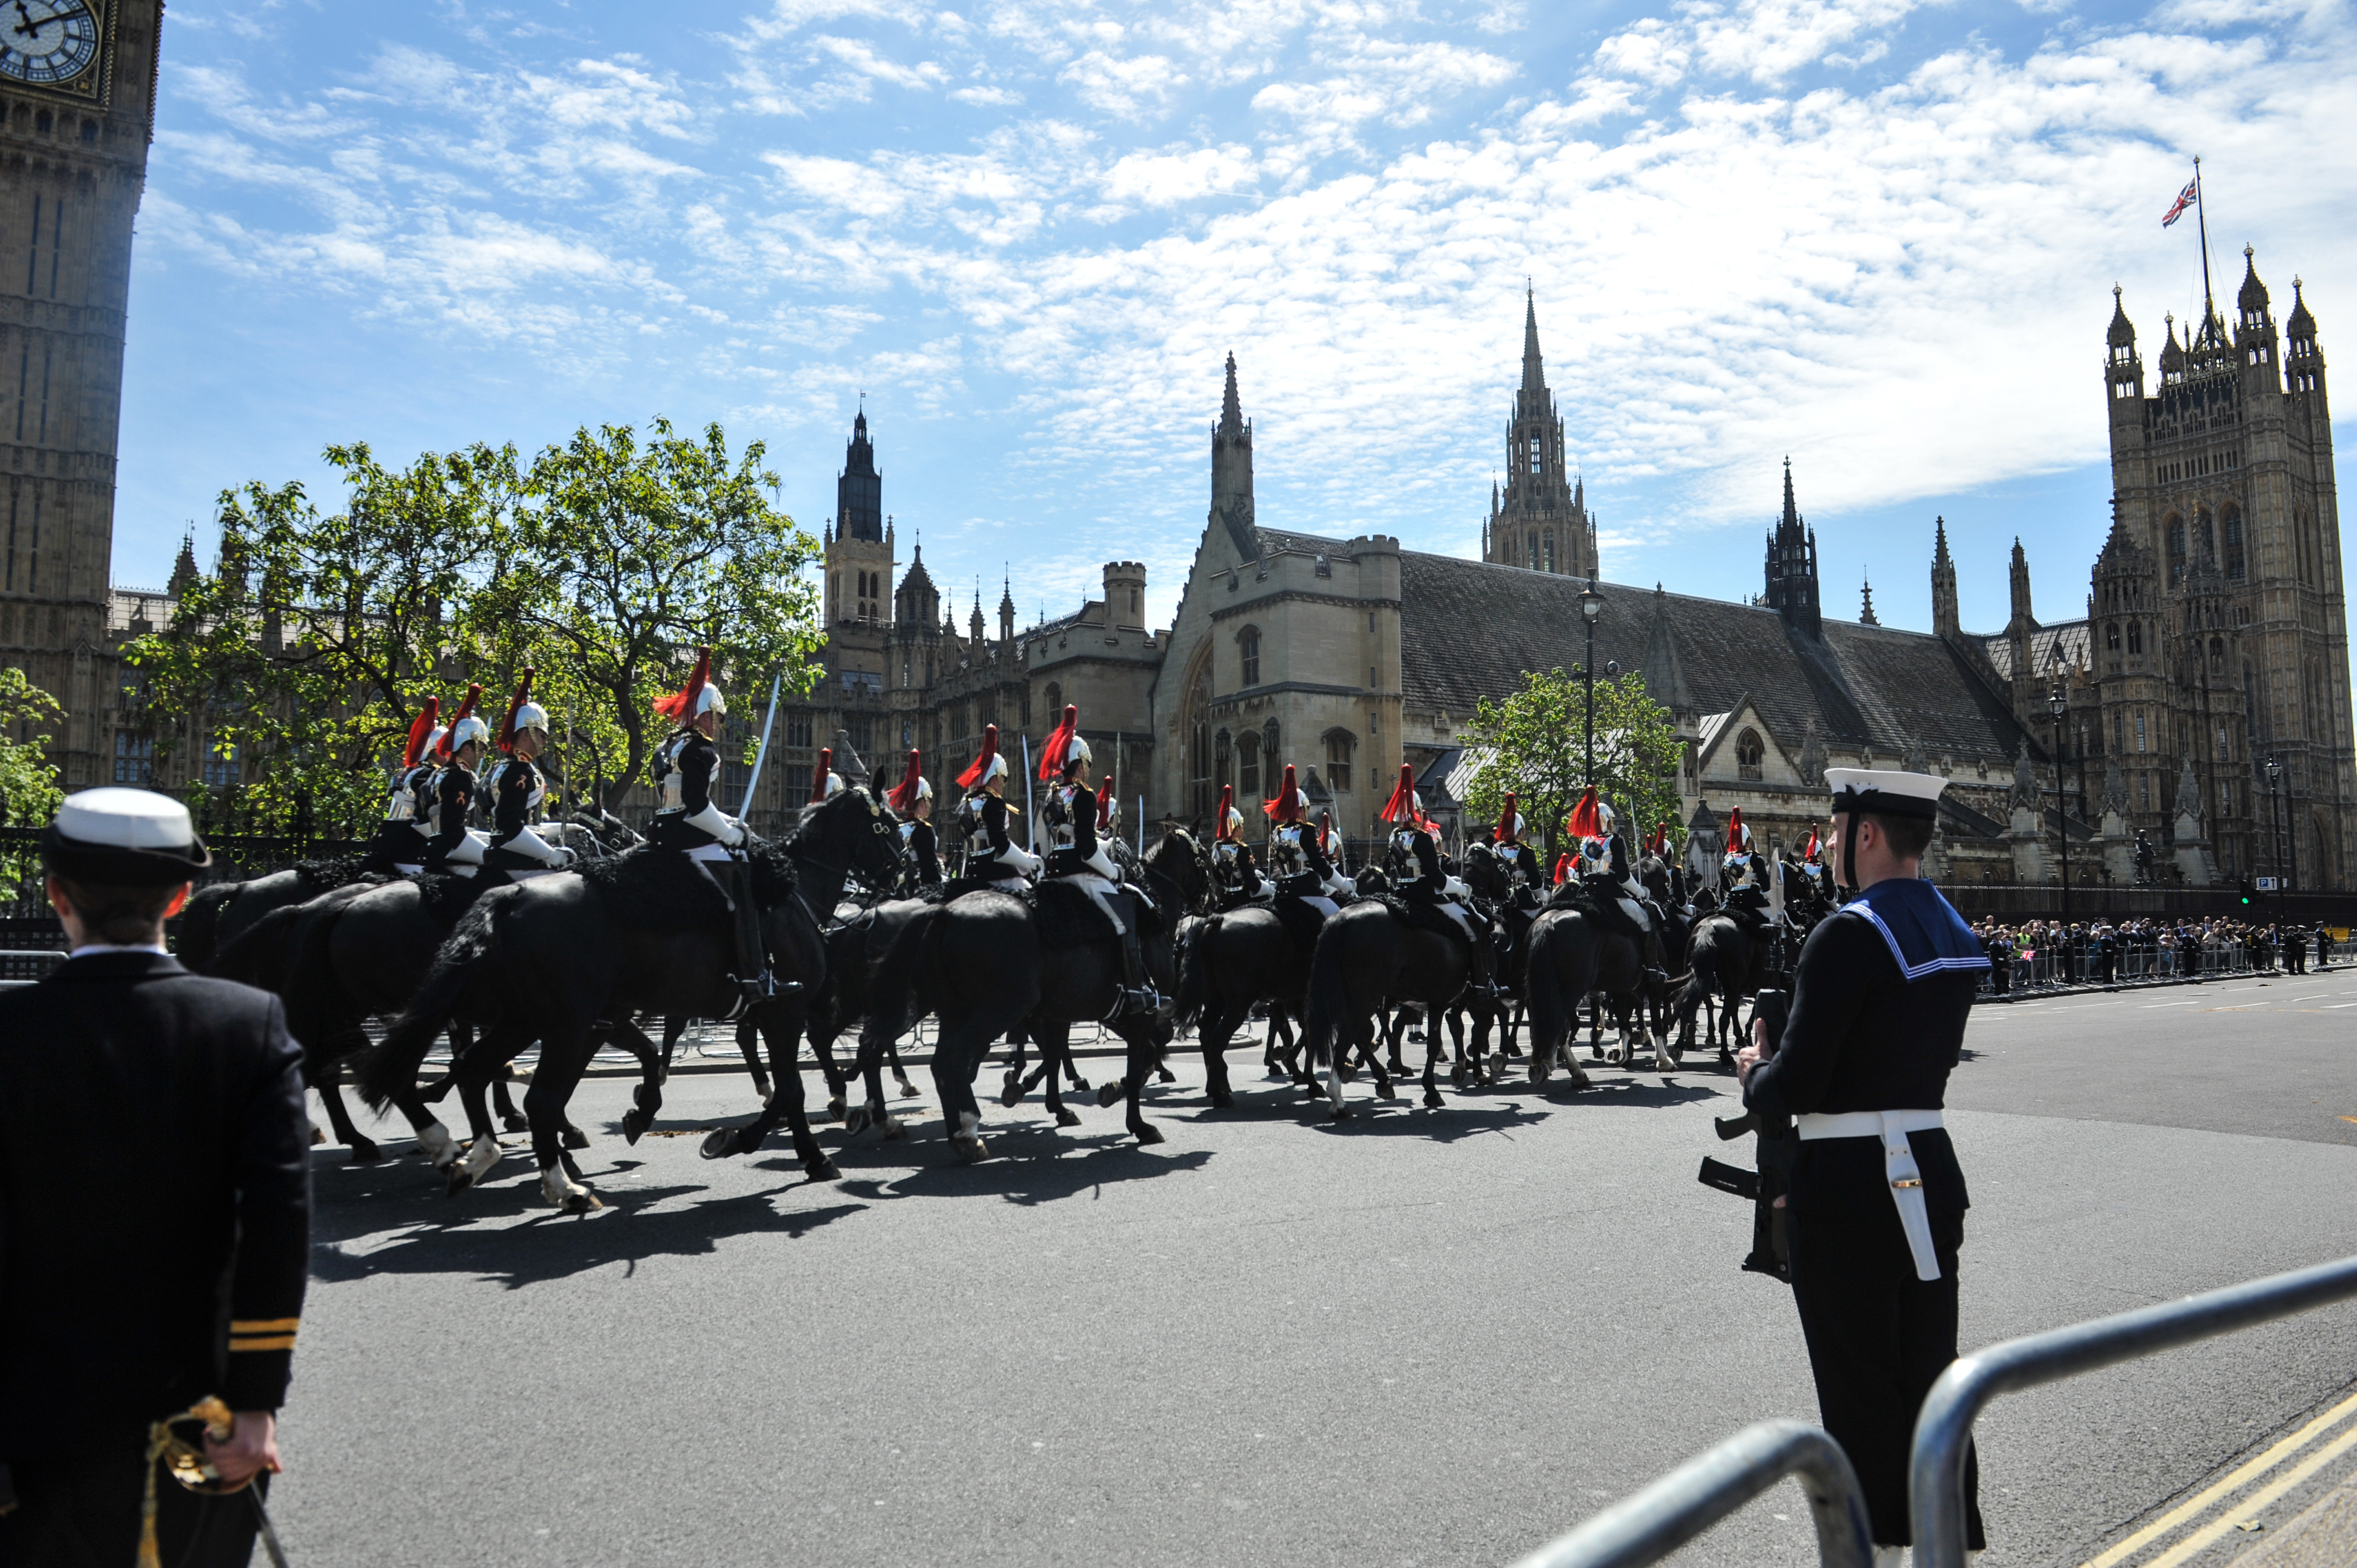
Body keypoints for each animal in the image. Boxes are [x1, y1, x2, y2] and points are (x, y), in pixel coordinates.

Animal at [363, 782, 905, 1207]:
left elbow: (776, 1084)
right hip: (560, 1021)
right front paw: (758, 1145)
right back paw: (558, 1184)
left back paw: (473, 1157)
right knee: (531, 1094)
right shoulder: (782, 1008)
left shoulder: (639, 1015)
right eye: (889, 825)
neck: (793, 896)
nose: (905, 875)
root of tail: (511, 895)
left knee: (474, 1070)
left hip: (526, 1018)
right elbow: (789, 1088)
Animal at [839, 839, 1197, 1155]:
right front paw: (1137, 1121)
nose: (1210, 902)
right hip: (993, 1008)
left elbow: (1057, 1054)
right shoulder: (1135, 1012)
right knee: (932, 1054)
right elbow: (1135, 1063)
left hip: (951, 1008)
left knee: (914, 1055)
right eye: (1203, 858)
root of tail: (942, 912)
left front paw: (1052, 1095)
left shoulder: (1073, 1011)